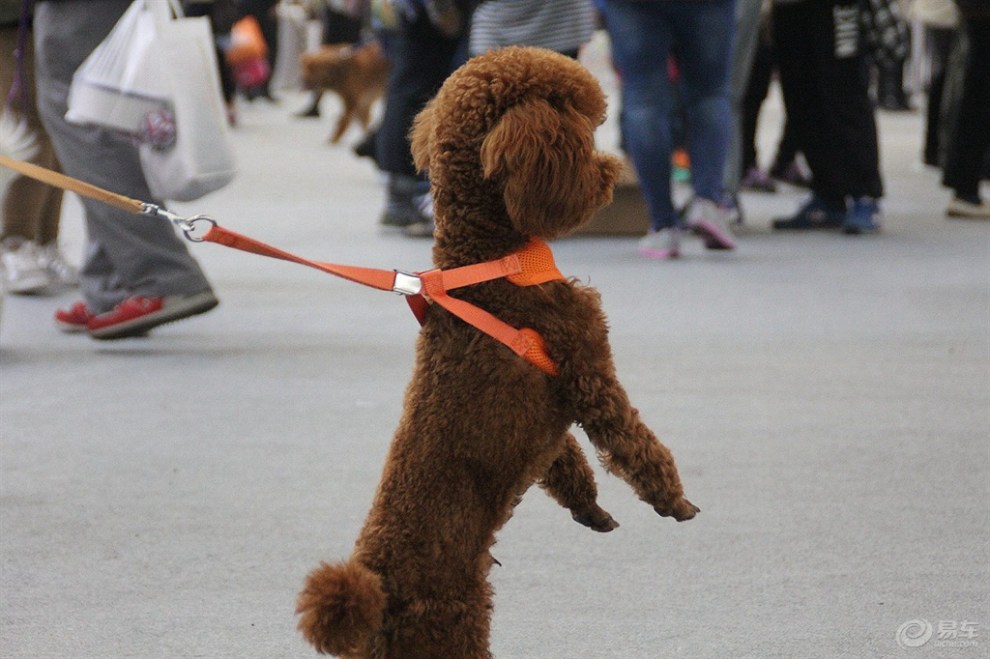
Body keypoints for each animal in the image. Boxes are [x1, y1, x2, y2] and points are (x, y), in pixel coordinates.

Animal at [294, 45, 696, 656]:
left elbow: (566, 463)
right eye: (578, 123)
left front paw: (592, 511)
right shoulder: (588, 368)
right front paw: (673, 501)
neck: (490, 264)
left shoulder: (555, 405)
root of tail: (378, 590)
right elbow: (632, 440)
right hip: (454, 624)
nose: (610, 170)